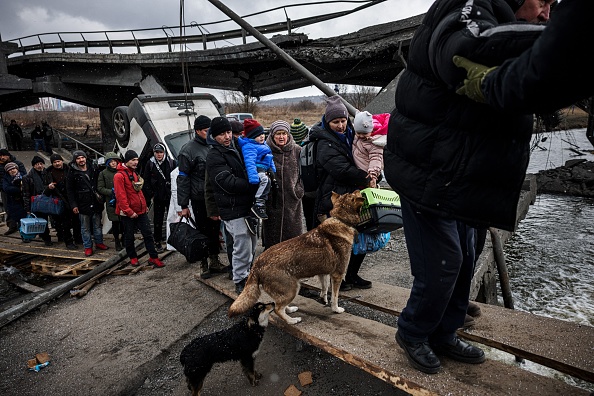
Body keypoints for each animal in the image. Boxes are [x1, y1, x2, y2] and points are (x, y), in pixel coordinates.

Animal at [228, 190, 364, 324]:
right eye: (354, 192)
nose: (360, 190)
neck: (340, 220)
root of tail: (256, 264)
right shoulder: (337, 275)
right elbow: (335, 297)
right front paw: (336, 309)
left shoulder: (323, 272)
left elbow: (324, 288)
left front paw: (323, 299)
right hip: (293, 288)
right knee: (277, 309)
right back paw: (292, 320)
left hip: (287, 290)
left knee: (279, 304)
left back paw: (290, 309)